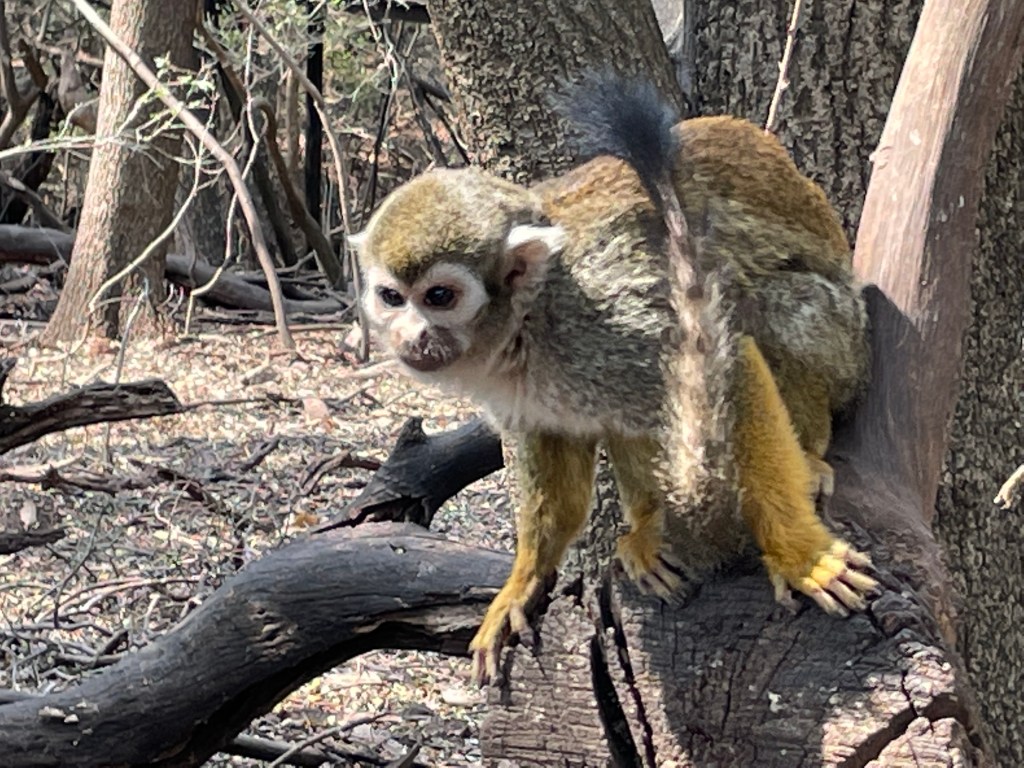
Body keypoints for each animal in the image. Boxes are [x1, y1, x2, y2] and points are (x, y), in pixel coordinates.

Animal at [350, 72, 879, 686]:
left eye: (439, 296)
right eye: (392, 297)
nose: (411, 336)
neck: (528, 321)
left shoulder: (604, 318)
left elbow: (738, 361)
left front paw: (800, 554)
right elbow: (554, 451)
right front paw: (524, 580)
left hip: (844, 342)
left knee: (764, 308)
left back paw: (806, 459)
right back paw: (649, 528)